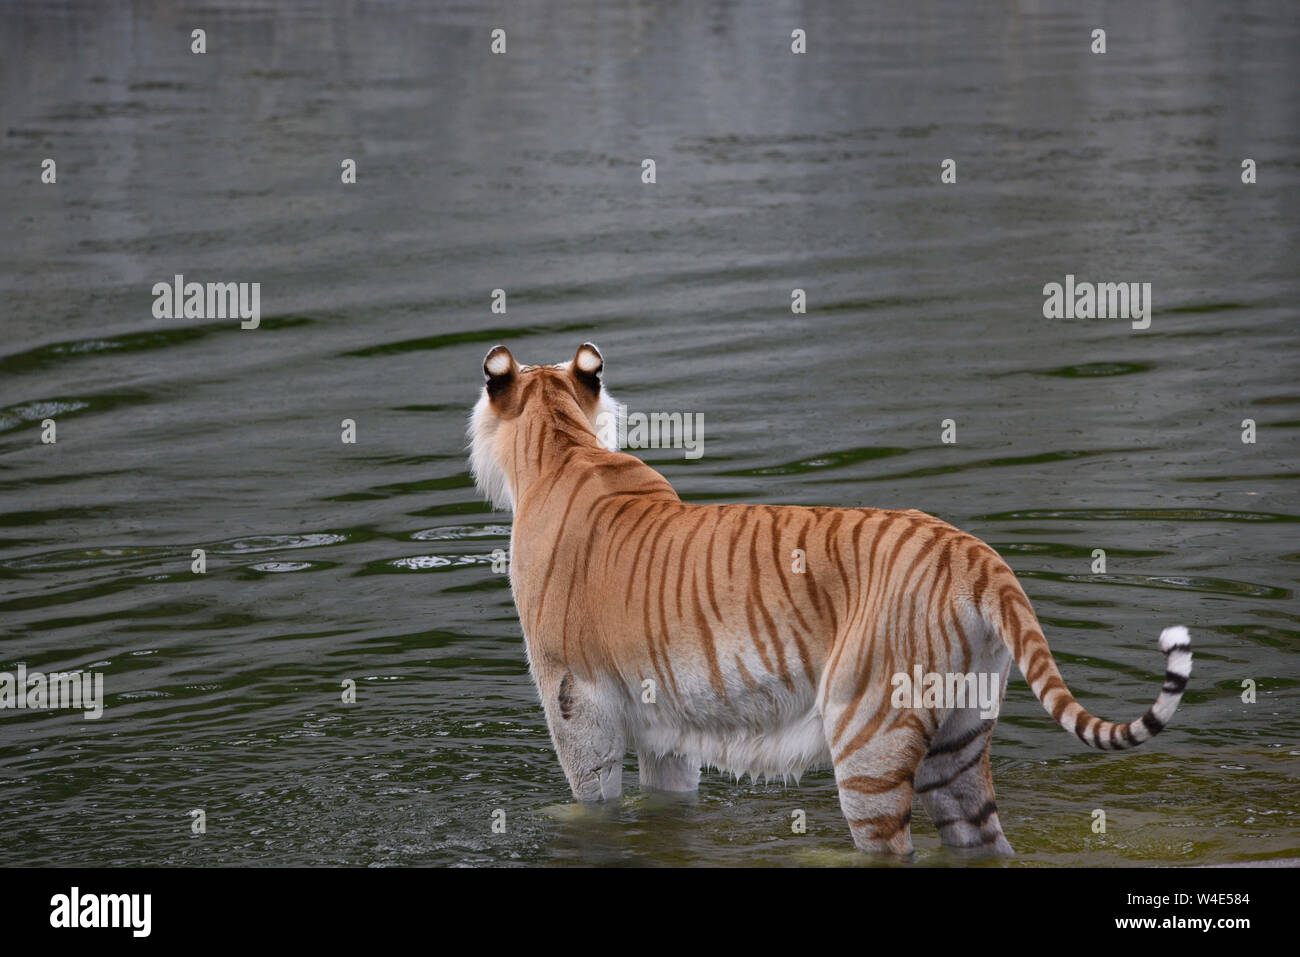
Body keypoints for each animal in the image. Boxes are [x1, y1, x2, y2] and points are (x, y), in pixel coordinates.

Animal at [467, 343, 1190, 852]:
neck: (562, 443)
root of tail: (975, 554)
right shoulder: (662, 720)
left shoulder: (575, 702)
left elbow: (594, 803)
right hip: (958, 739)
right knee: (982, 837)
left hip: (867, 740)